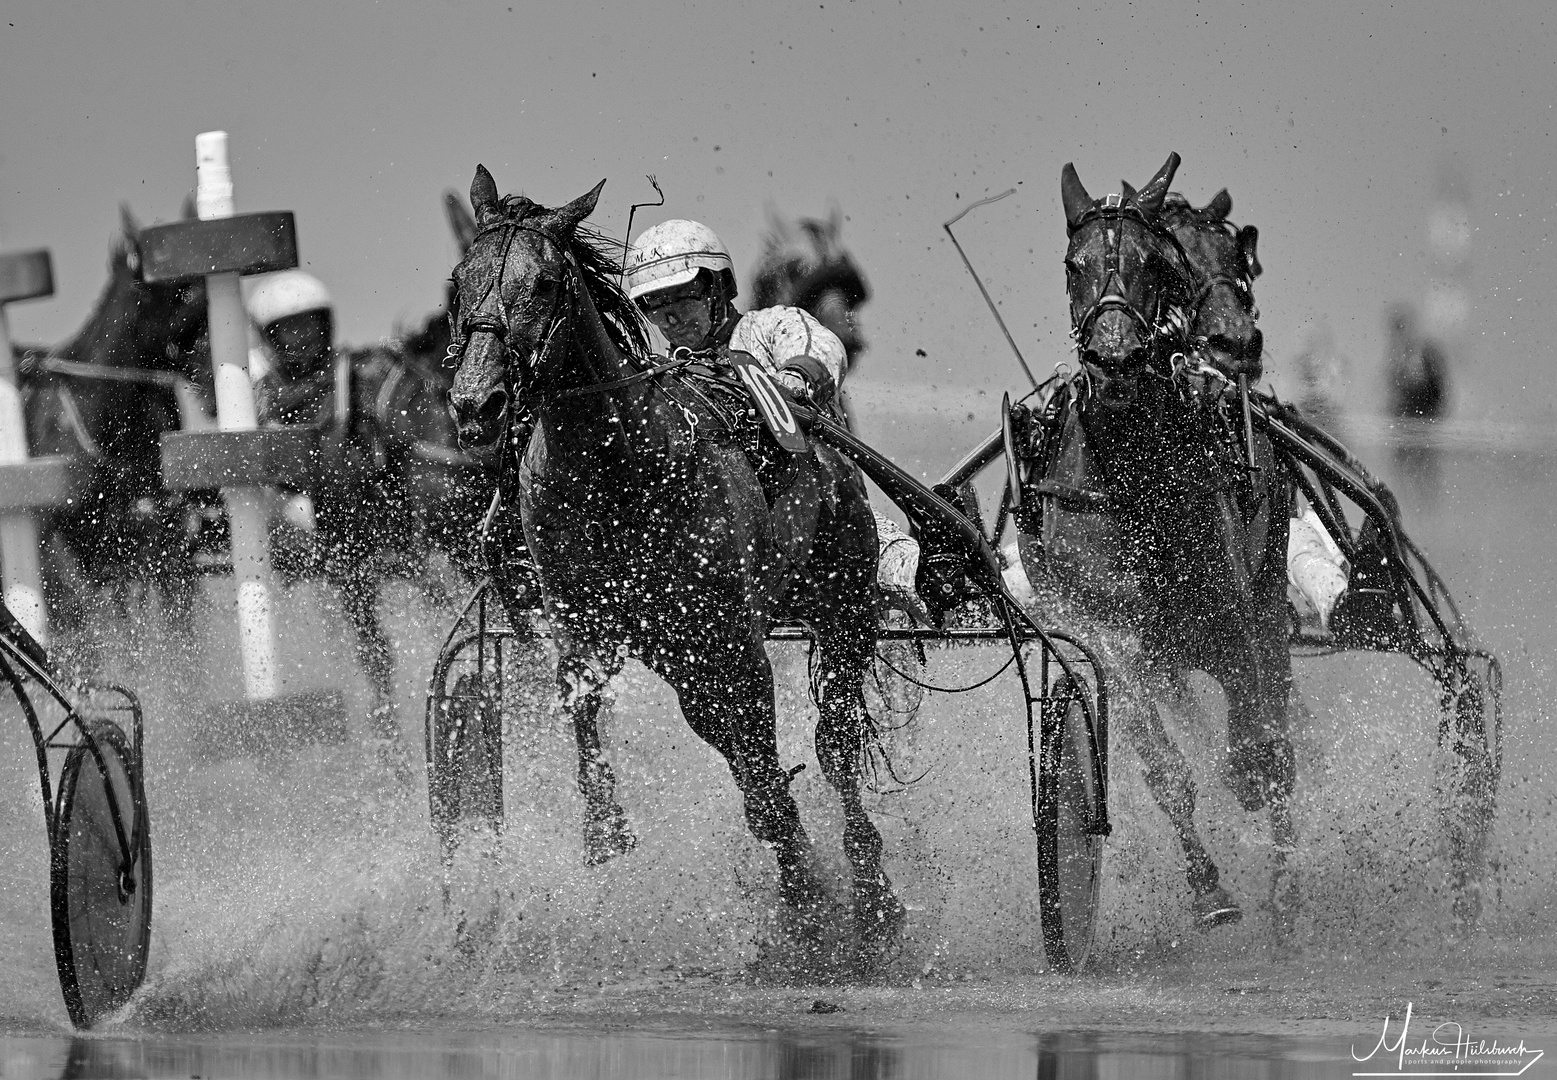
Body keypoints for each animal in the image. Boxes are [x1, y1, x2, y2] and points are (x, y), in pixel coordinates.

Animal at [442, 164, 903, 958]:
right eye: (460, 280)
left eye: (542, 283)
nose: (476, 403)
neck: (614, 470)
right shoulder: (589, 631)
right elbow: (586, 712)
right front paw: (605, 830)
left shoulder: (729, 642)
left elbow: (764, 779)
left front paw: (809, 898)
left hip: (838, 605)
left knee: (835, 744)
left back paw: (873, 895)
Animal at [1021, 156, 1301, 933]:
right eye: (1073, 264)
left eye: (1154, 264)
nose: (1114, 357)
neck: (1132, 475)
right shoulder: (1111, 638)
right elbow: (1163, 767)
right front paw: (1208, 890)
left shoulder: (1233, 610)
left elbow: (1259, 745)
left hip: (1265, 588)